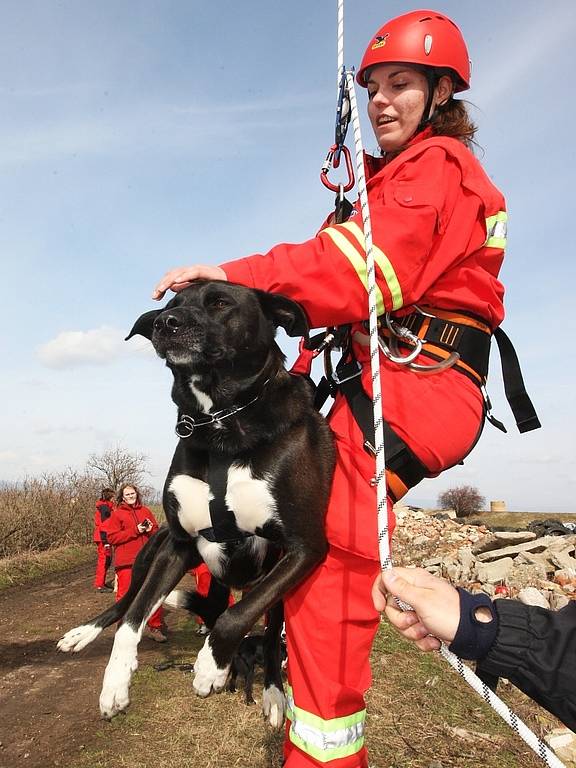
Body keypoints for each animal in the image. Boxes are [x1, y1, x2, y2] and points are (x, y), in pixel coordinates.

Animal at [56, 280, 336, 728]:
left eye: (220, 302)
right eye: (171, 304)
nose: (165, 324)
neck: (220, 421)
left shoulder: (304, 547)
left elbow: (238, 616)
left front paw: (209, 667)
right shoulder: (178, 546)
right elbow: (132, 619)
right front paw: (115, 684)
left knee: (259, 624)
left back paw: (273, 693)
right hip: (148, 555)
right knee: (127, 601)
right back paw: (83, 633)